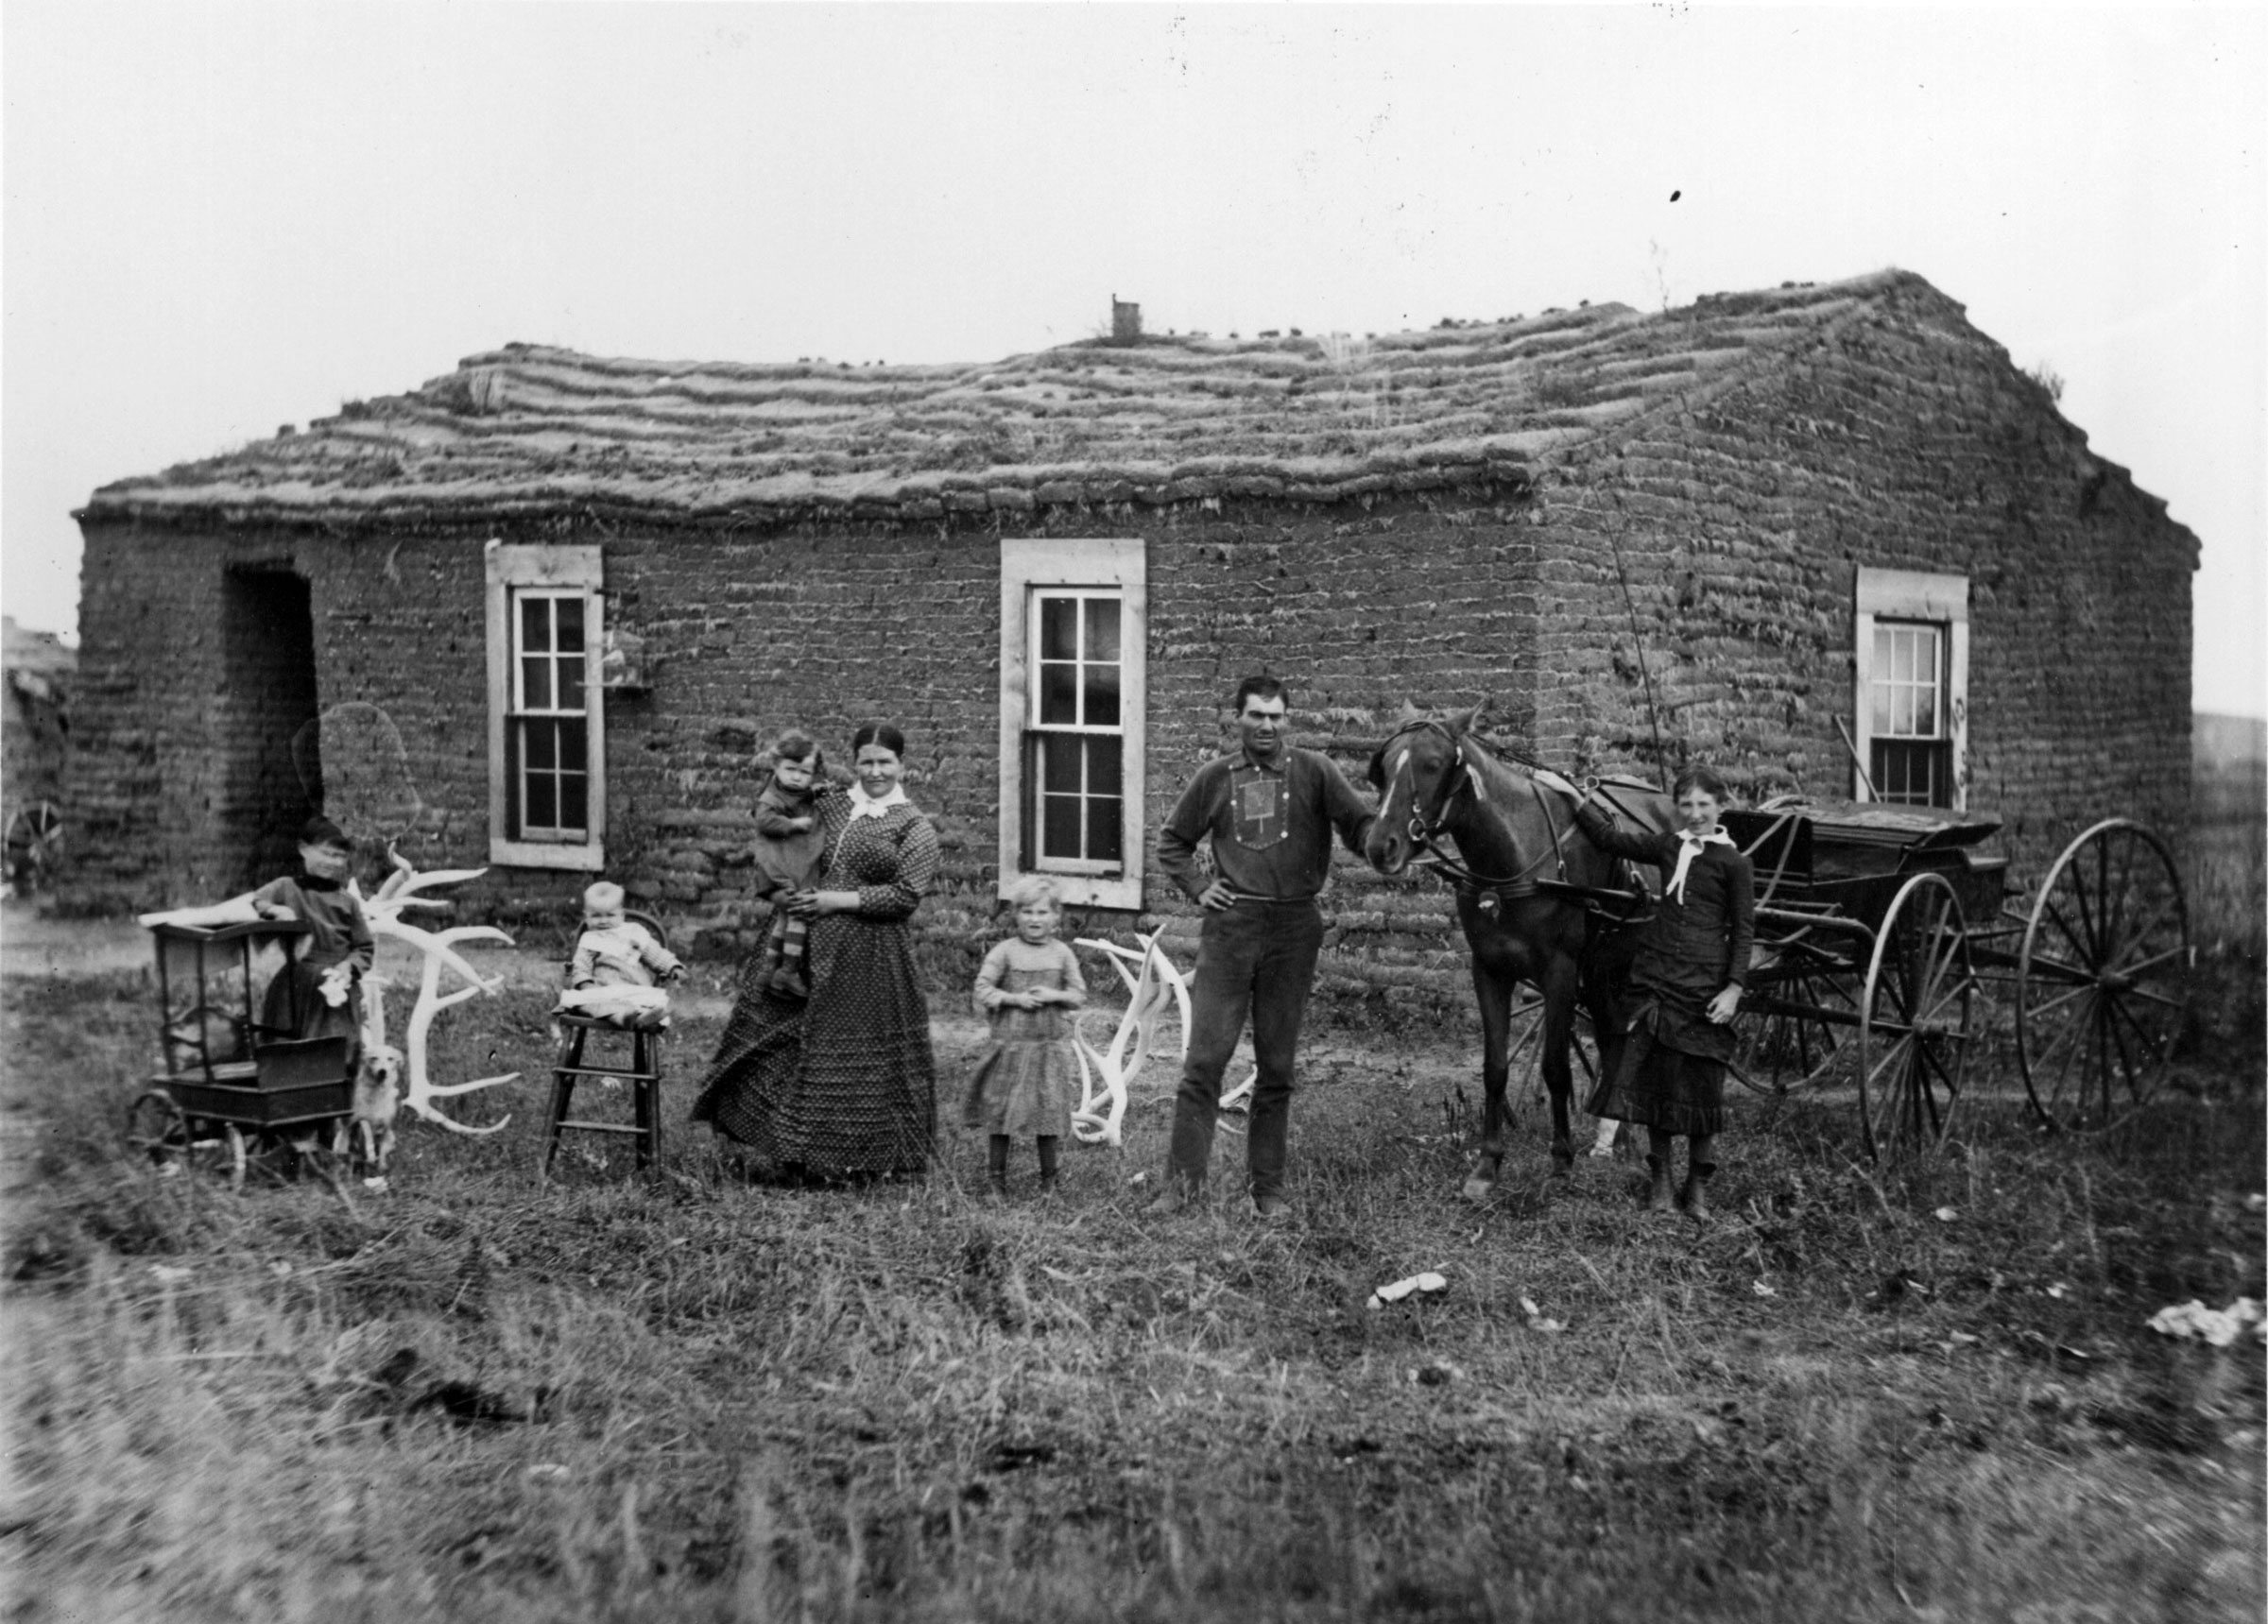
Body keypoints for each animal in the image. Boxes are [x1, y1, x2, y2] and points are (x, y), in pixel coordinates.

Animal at [1351, 708, 1678, 1188]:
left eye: (1433, 764)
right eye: (1386, 767)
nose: (1380, 845)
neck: (1515, 858)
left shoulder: (1560, 973)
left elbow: (1556, 1067)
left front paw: (1561, 1159)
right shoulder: (1489, 970)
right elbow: (1495, 1068)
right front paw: (1488, 1163)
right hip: (1604, 970)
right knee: (1611, 1035)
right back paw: (1617, 1140)